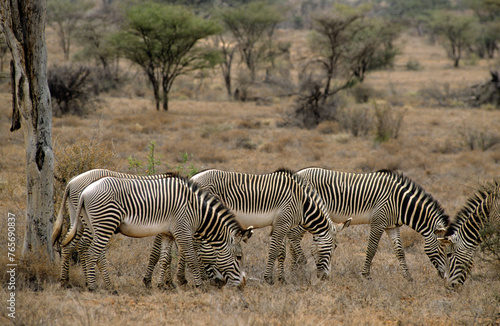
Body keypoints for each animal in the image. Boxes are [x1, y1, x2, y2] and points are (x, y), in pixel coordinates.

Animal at [60, 174, 252, 292]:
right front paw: (199, 286)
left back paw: (106, 286)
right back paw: (93, 287)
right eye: (239, 257)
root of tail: (85, 191)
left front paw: (161, 285)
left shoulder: (168, 233)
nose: (243, 285)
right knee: (92, 254)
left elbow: (165, 259)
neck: (197, 211)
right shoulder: (183, 231)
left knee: (92, 253)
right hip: (105, 223)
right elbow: (192, 259)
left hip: (92, 225)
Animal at [146, 168, 352, 286]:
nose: (325, 278)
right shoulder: (283, 222)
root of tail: (194, 177)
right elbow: (273, 251)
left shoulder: (279, 224)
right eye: (335, 247)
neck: (303, 203)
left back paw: (178, 279)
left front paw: (282, 279)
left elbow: (281, 253)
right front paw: (269, 279)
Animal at [294, 168, 452, 280]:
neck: (400, 203)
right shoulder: (378, 222)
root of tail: (298, 173)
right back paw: (299, 266)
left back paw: (295, 267)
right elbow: (372, 248)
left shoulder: (392, 226)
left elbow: (400, 251)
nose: (445, 278)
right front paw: (366, 275)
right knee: (293, 236)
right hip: (307, 214)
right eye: (443, 252)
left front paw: (408, 277)